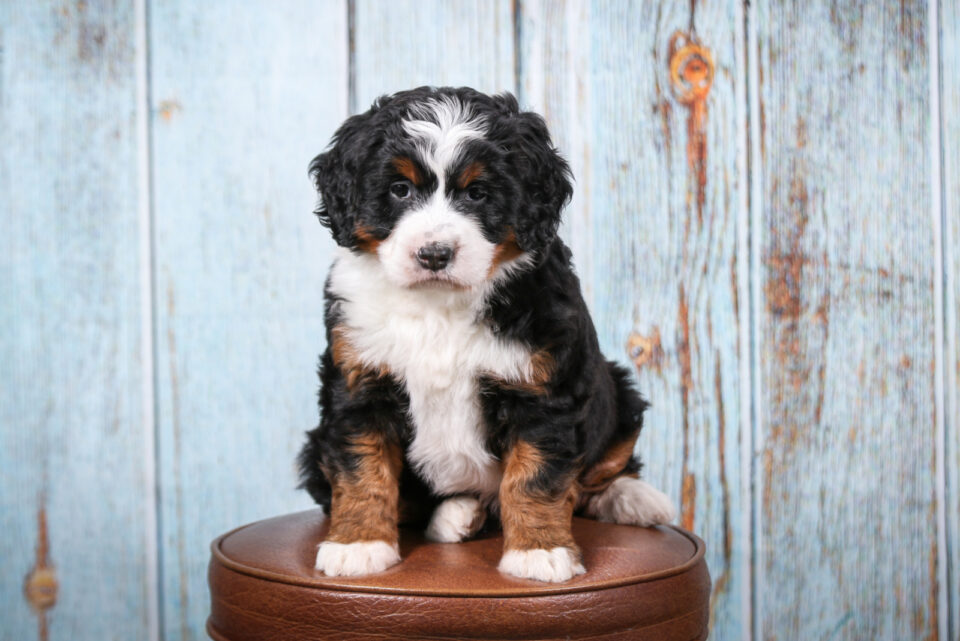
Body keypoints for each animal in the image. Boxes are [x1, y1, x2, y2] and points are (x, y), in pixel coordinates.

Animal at [300, 87, 676, 584]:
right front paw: (358, 544)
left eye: (478, 194)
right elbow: (362, 469)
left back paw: (635, 499)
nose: (434, 254)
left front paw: (539, 551)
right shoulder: (358, 383)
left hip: (618, 389)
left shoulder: (542, 391)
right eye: (400, 190)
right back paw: (458, 515)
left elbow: (536, 477)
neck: (439, 305)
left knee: (601, 471)